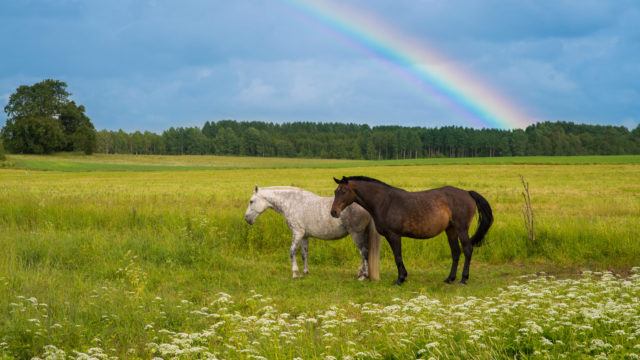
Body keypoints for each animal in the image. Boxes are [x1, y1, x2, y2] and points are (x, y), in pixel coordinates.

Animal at [244, 187, 376, 280]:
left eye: (251, 201)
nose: (246, 218)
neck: (292, 203)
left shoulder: (297, 233)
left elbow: (292, 252)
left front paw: (295, 273)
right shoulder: (304, 236)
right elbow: (304, 254)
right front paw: (305, 272)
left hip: (356, 234)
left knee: (364, 252)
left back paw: (363, 276)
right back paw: (360, 273)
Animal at [332, 176, 492, 286]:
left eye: (344, 191)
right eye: (335, 191)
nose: (333, 212)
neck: (384, 202)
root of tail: (467, 193)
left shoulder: (394, 235)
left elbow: (398, 256)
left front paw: (400, 279)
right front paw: (403, 277)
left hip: (461, 228)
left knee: (467, 250)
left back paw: (464, 279)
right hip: (451, 229)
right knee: (456, 252)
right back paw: (449, 279)